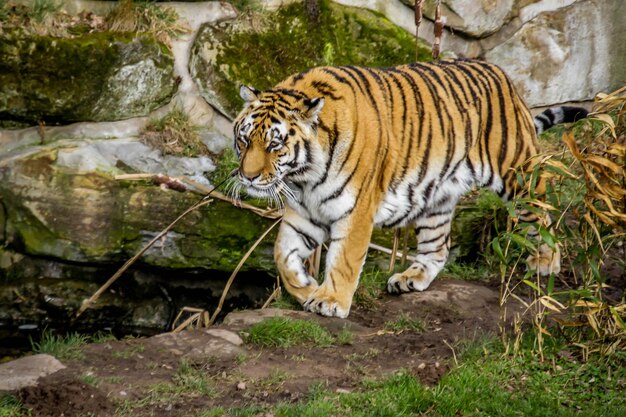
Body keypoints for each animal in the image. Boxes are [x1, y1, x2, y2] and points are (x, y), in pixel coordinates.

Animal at [229, 58, 584, 316]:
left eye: (274, 145)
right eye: (244, 140)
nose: (248, 177)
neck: (304, 177)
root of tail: (502, 74)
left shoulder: (356, 210)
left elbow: (344, 259)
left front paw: (331, 301)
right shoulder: (304, 213)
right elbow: (283, 255)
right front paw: (306, 288)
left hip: (517, 174)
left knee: (541, 213)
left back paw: (546, 263)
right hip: (438, 197)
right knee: (437, 248)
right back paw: (411, 279)